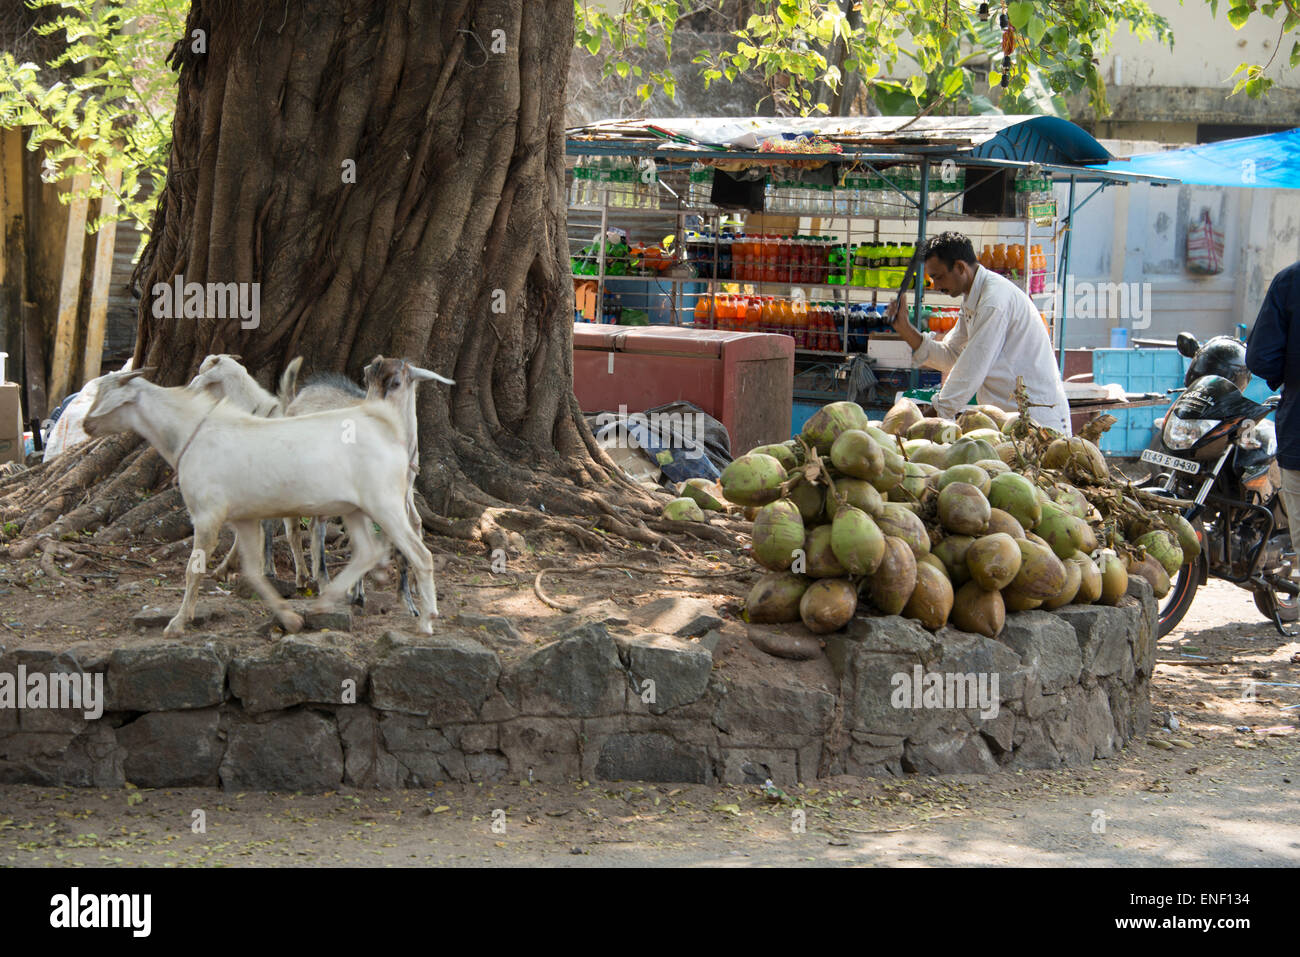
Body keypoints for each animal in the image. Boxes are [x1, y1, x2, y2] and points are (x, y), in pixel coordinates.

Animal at [86, 369, 444, 639]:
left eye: (105, 394)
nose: (86, 425)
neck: (193, 433)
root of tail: (392, 433)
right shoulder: (244, 519)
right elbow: (254, 573)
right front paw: (290, 619)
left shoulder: (206, 515)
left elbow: (193, 570)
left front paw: (177, 623)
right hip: (354, 510)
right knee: (367, 552)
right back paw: (323, 602)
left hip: (385, 504)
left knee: (420, 553)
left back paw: (426, 619)